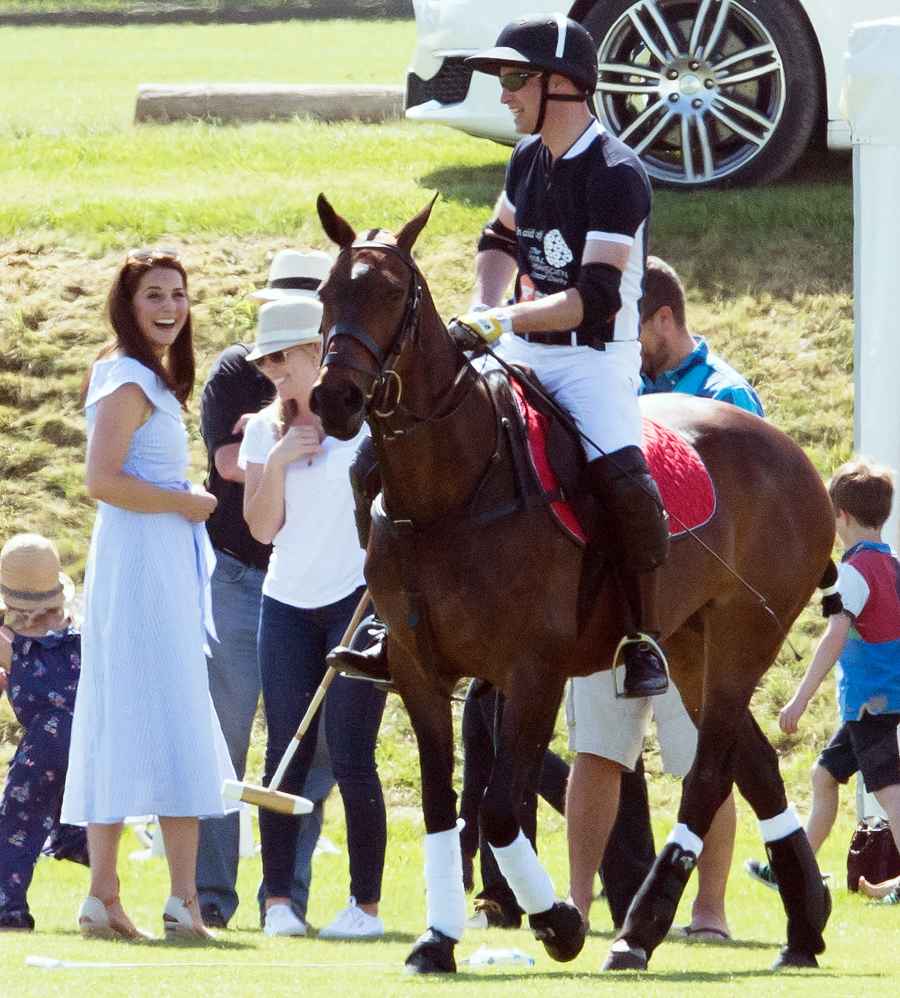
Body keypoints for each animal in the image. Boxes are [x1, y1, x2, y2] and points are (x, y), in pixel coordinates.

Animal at [310, 195, 836, 976]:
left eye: (392, 294)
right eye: (325, 294)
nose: (333, 397)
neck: (448, 492)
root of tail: (796, 457)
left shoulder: (533, 671)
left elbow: (498, 806)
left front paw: (557, 921)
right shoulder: (416, 670)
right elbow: (442, 804)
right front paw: (437, 941)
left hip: (745, 634)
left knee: (709, 776)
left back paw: (638, 931)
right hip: (692, 643)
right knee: (758, 765)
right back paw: (805, 925)